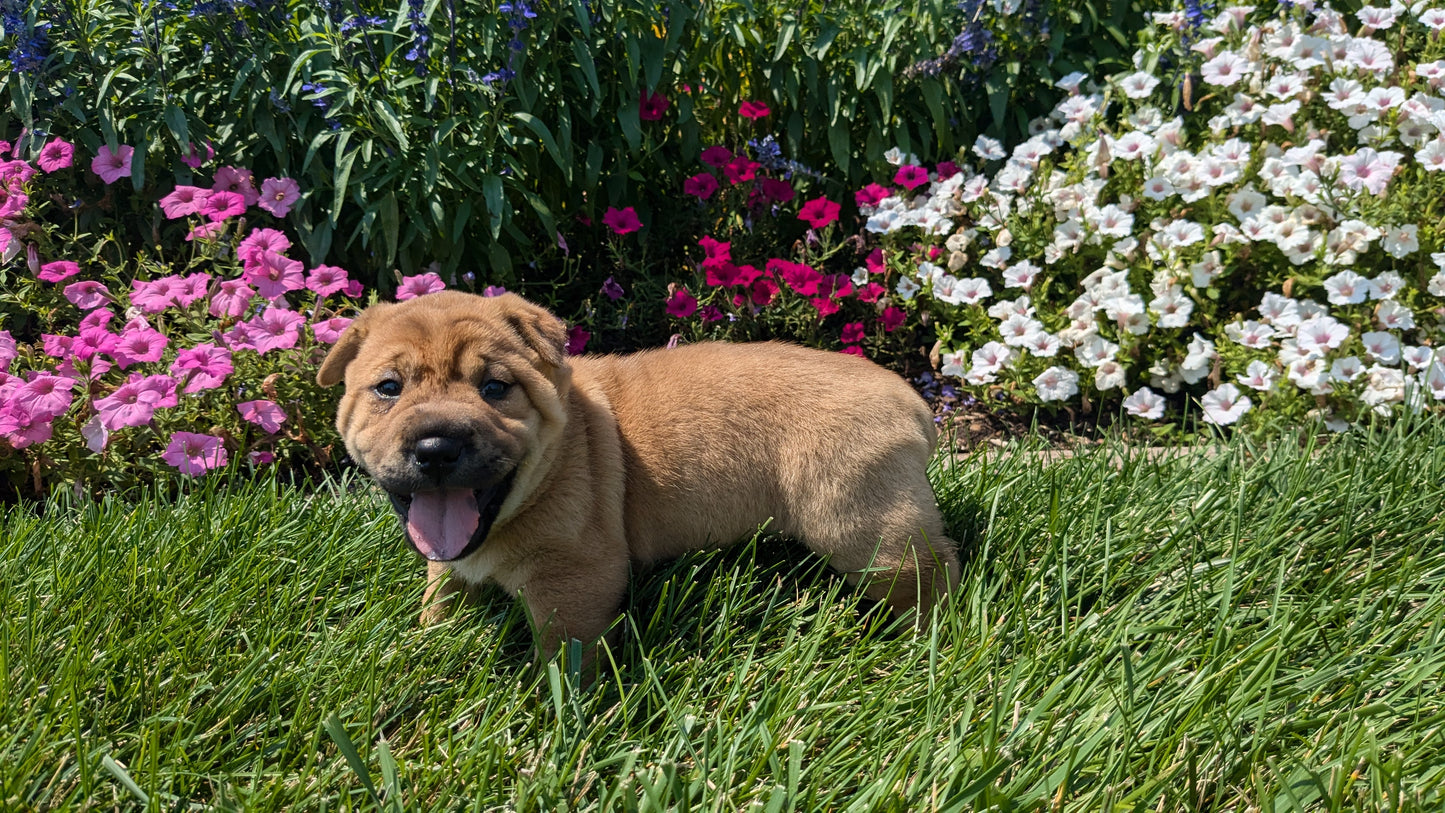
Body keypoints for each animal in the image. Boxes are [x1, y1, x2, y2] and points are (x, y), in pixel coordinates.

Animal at [322, 293, 965, 661]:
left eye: (495, 388)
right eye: (388, 388)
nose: (436, 447)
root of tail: (910, 398)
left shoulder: (575, 577)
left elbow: (565, 653)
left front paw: (564, 717)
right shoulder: (452, 557)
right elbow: (441, 591)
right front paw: (424, 641)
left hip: (860, 521)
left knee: (929, 575)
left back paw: (930, 644)